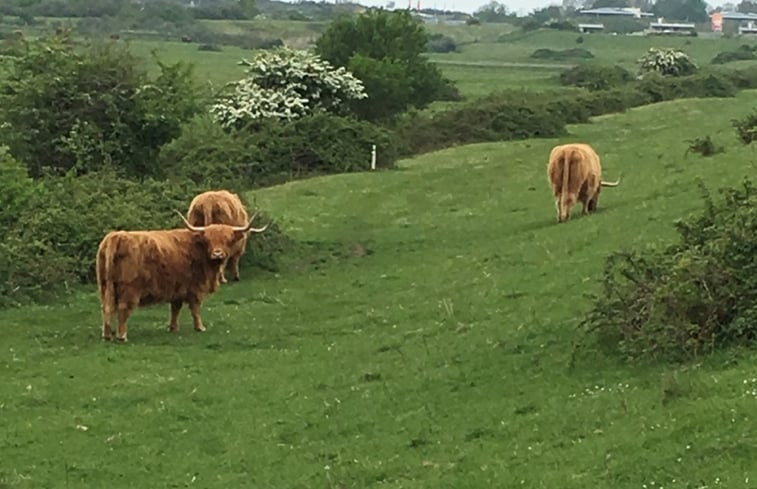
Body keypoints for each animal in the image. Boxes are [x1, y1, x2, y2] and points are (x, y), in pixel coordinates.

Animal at [96, 212, 270, 342]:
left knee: (106, 308)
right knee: (123, 309)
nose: (217, 254)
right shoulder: (195, 287)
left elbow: (175, 308)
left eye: (227, 239)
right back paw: (122, 336)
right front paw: (200, 327)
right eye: (209, 239)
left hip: (105, 286)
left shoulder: (178, 289)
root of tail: (116, 236)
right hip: (129, 288)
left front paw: (173, 327)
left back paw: (107, 335)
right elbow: (195, 309)